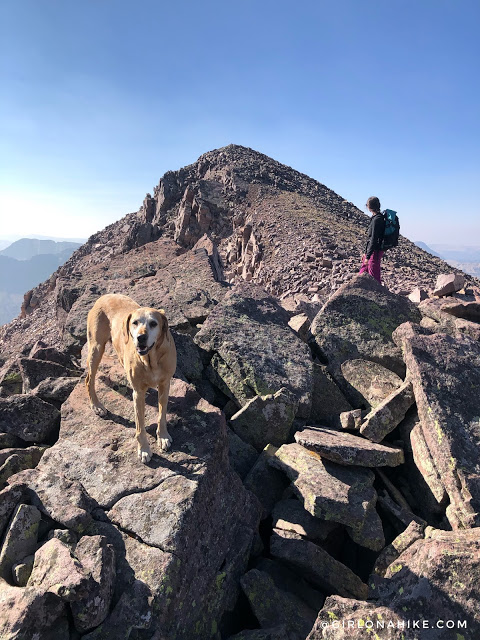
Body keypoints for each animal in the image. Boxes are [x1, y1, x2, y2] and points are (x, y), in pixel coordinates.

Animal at [86, 292, 176, 462]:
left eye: (153, 323)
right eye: (135, 323)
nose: (141, 337)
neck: (150, 359)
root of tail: (104, 295)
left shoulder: (165, 384)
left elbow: (162, 414)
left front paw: (162, 436)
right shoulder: (138, 393)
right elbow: (140, 425)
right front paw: (144, 449)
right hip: (96, 347)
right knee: (89, 379)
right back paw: (97, 405)